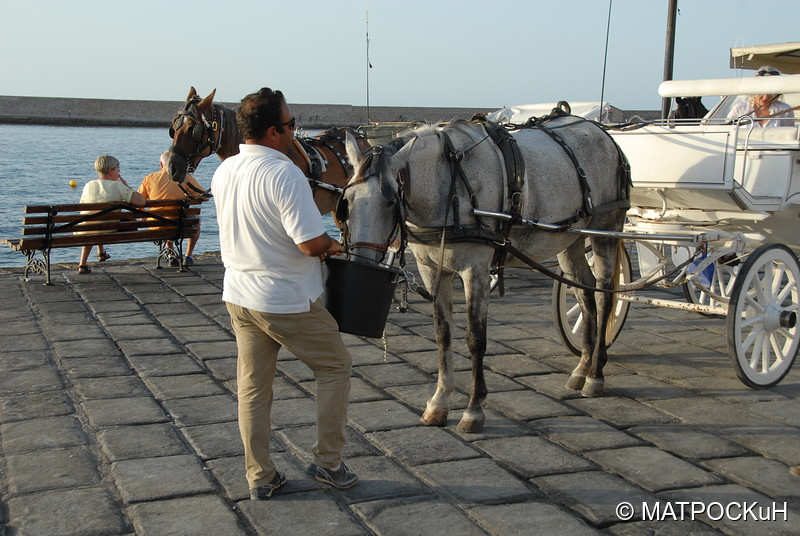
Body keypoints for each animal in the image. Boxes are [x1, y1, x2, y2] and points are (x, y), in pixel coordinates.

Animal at [340, 115, 628, 434]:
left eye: (390, 201)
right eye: (347, 199)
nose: (362, 264)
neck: (447, 185)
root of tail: (600, 131)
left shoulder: (475, 271)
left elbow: (475, 339)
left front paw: (474, 410)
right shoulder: (432, 271)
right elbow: (442, 334)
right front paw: (439, 403)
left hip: (605, 231)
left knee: (604, 297)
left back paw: (596, 375)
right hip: (570, 241)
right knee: (585, 294)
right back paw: (582, 368)